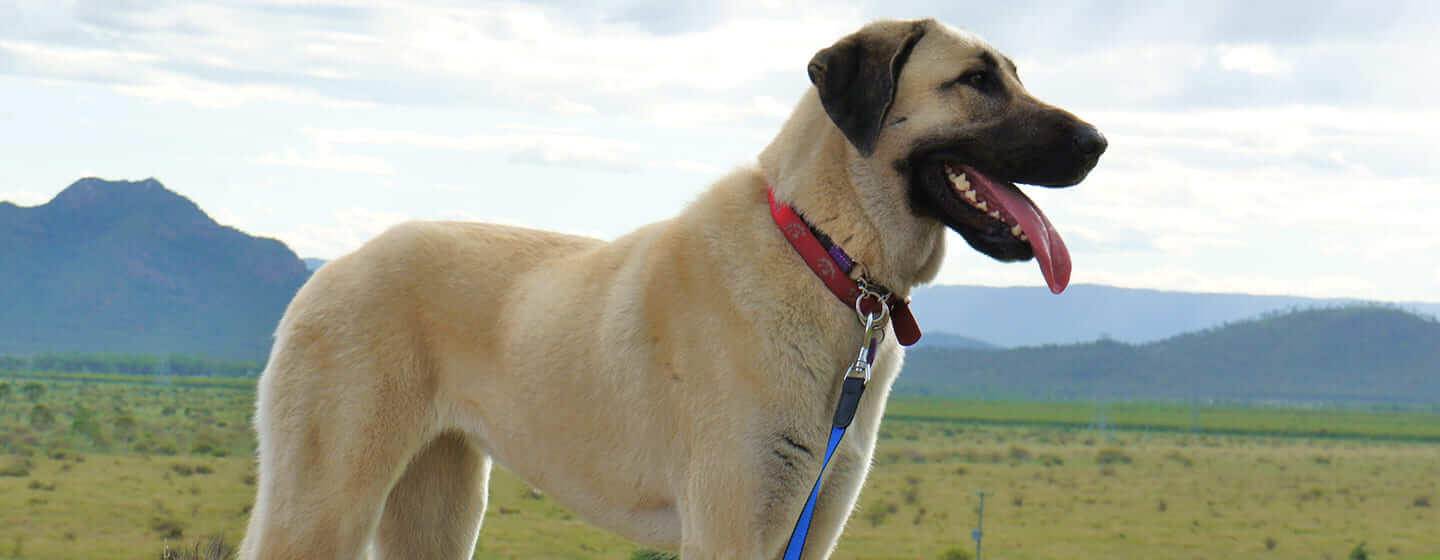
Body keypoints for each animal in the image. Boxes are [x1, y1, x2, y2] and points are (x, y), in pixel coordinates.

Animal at [241, 17, 1105, 558]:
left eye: (1013, 75)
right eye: (975, 80)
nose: (1099, 141)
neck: (826, 254)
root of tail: (334, 267)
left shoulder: (810, 523)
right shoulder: (729, 528)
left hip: (439, 503)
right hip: (324, 502)